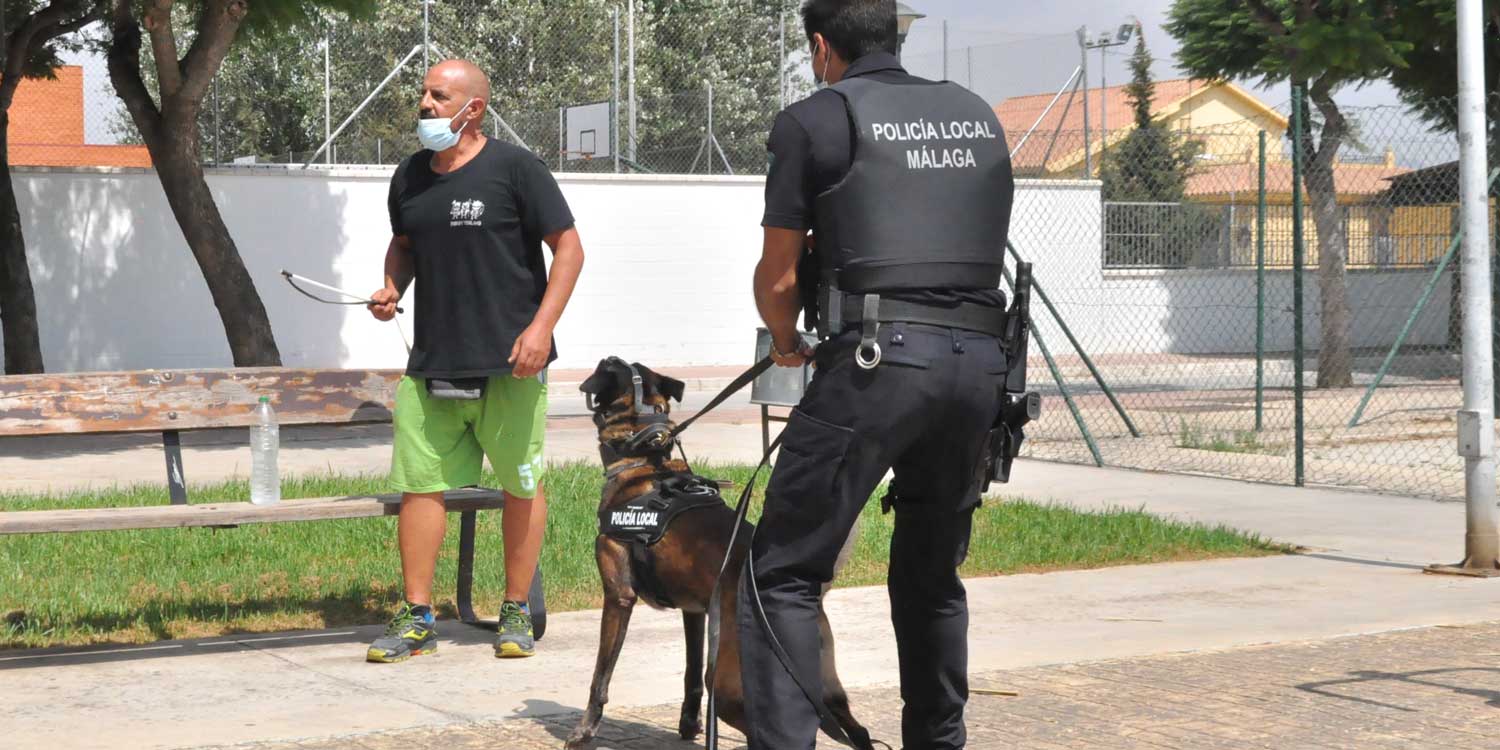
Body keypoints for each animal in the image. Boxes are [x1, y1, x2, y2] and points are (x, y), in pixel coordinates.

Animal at [564, 357, 876, 750]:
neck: (644, 460)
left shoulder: (618, 597)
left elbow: (600, 676)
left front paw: (584, 730)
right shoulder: (695, 612)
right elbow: (690, 673)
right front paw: (688, 723)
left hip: (731, 688)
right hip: (823, 688)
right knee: (857, 732)